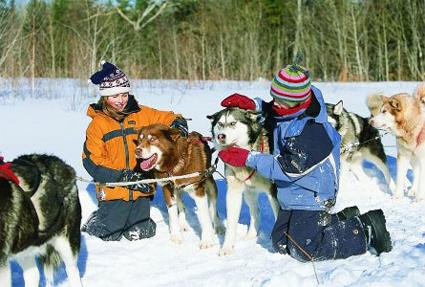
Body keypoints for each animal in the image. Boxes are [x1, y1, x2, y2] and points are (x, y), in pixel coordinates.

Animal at [206, 108, 278, 256]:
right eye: (220, 124)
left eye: (233, 123)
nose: (221, 136)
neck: (249, 158)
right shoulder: (233, 192)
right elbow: (231, 223)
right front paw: (227, 247)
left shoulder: (273, 191)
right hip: (249, 193)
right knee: (256, 212)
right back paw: (250, 236)